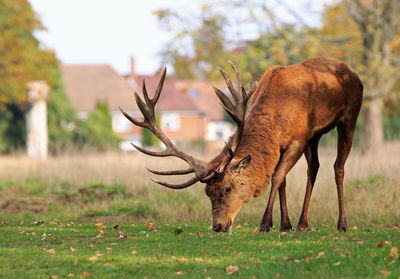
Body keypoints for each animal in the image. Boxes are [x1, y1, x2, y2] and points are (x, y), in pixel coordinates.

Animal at [120, 58, 364, 235]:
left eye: (227, 188)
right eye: (207, 193)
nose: (217, 226)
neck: (276, 121)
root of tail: (353, 72)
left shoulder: (299, 138)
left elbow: (276, 176)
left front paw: (265, 223)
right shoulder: (286, 144)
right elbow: (282, 180)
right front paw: (285, 224)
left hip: (349, 117)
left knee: (338, 167)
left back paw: (342, 224)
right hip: (316, 135)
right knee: (314, 168)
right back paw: (303, 223)